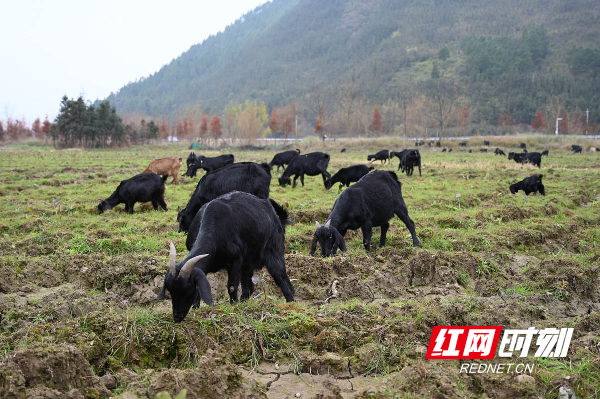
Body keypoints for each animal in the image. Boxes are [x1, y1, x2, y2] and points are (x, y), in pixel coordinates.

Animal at [156, 192, 294, 324]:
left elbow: (232, 286)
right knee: (248, 288)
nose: (177, 317)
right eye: (171, 291)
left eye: (188, 292)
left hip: (274, 253)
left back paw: (290, 305)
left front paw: (234, 307)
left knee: (284, 281)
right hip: (247, 264)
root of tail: (274, 214)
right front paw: (196, 309)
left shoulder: (235, 261)